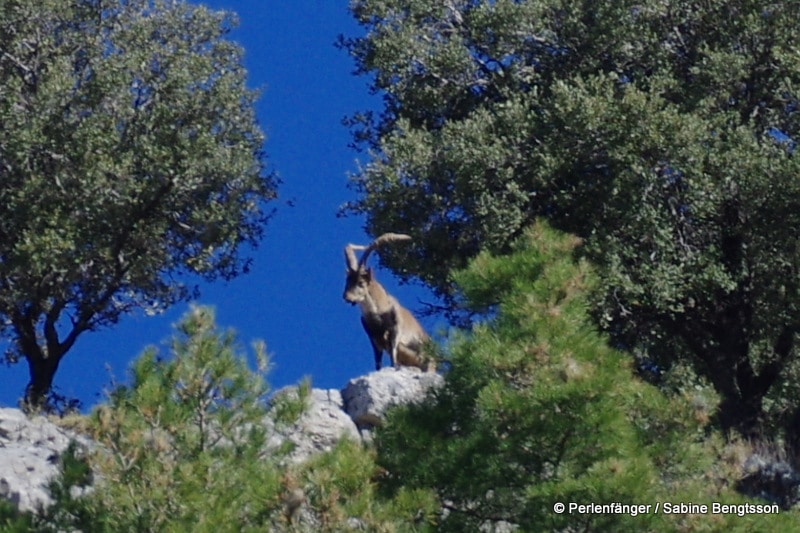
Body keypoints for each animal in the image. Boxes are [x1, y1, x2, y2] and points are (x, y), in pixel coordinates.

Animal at [342, 233, 434, 370]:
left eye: (361, 282)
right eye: (347, 281)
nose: (346, 297)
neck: (379, 311)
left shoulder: (396, 329)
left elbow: (393, 353)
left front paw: (394, 366)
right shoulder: (373, 337)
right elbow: (378, 360)